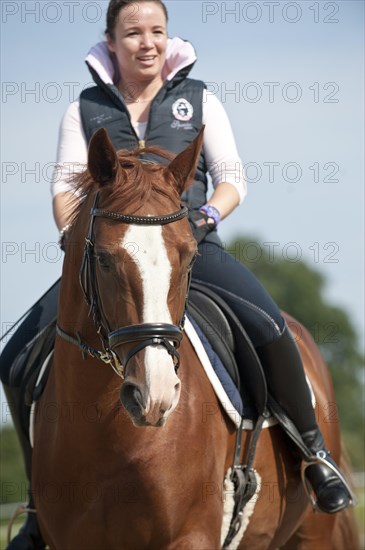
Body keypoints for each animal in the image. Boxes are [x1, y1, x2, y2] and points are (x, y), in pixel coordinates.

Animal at [32, 129, 358, 550]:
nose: (154, 395)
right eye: (103, 259)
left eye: (189, 258)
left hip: (312, 533)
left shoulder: (191, 537)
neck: (101, 430)